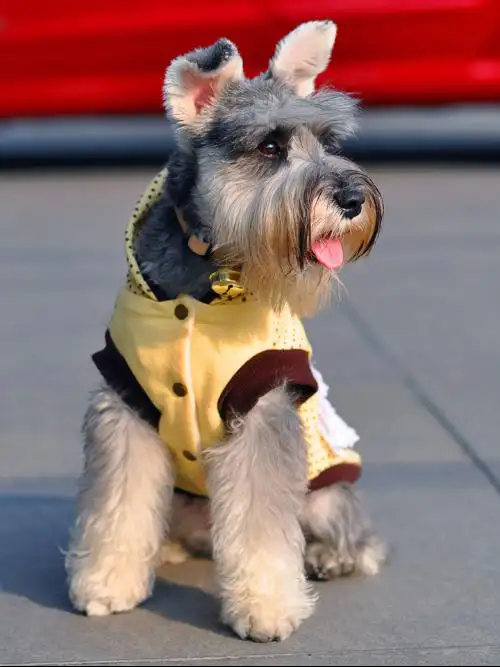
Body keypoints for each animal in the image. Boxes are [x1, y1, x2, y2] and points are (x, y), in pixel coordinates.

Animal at [65, 20, 386, 644]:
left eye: (327, 140)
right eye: (269, 147)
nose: (353, 199)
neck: (204, 274)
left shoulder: (262, 407)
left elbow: (262, 525)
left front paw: (266, 609)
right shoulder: (127, 401)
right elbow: (118, 504)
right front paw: (106, 583)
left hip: (324, 487)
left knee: (354, 532)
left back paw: (329, 557)